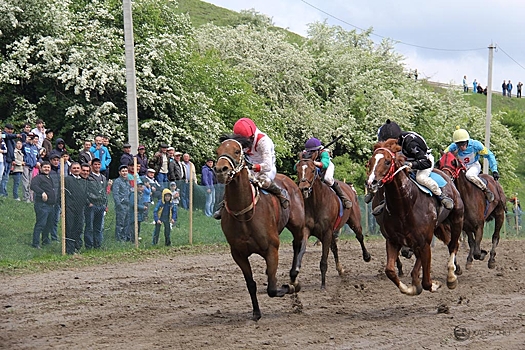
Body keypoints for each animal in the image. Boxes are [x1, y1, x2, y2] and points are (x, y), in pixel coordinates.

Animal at [215, 135, 308, 320]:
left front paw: (288, 287)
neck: (244, 214)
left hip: (297, 224)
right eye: (218, 151)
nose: (221, 170)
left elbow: (272, 288)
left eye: (236, 151)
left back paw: (294, 275)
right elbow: (251, 284)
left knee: (299, 243)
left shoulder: (271, 249)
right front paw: (256, 312)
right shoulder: (238, 254)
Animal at [294, 153, 372, 290]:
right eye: (298, 170)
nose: (304, 189)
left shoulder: (326, 232)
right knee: (335, 248)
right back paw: (340, 270)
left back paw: (366, 256)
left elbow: (323, 260)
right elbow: (302, 251)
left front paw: (323, 285)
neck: (316, 203)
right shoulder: (308, 230)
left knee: (360, 236)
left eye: (313, 170)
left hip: (354, 221)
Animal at [364, 139, 462, 296]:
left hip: (457, 218)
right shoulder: (393, 241)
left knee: (453, 245)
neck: (404, 207)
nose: (371, 182)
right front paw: (412, 287)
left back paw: (451, 277)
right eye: (370, 161)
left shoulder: (424, 243)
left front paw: (434, 284)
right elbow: (390, 271)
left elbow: (427, 282)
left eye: (387, 162)